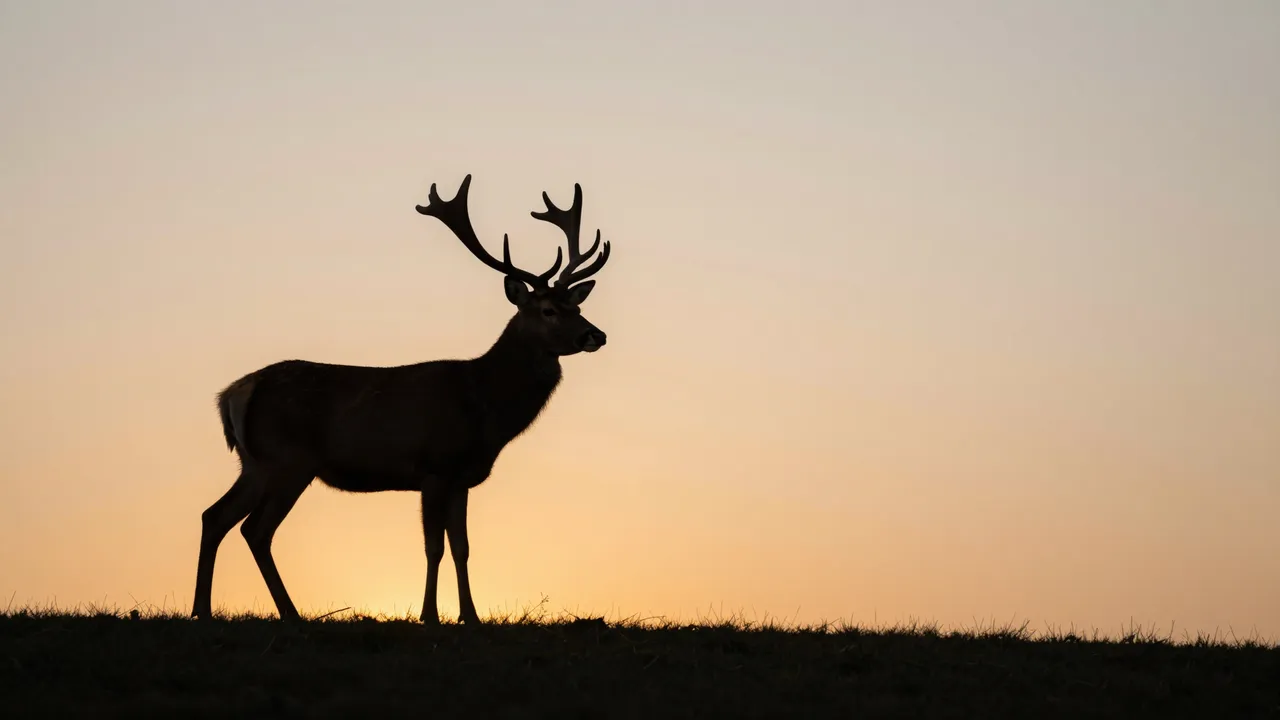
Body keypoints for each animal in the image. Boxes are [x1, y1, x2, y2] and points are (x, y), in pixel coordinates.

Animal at [191, 174, 611, 624]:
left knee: (215, 516)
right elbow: (434, 547)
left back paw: (204, 609)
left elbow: (462, 548)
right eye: (548, 310)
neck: (483, 406)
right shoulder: (433, 467)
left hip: (255, 462)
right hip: (288, 460)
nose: (596, 335)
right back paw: (289, 612)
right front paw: (429, 615)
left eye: (577, 306)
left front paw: (470, 616)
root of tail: (233, 393)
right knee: (255, 529)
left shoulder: (461, 477)